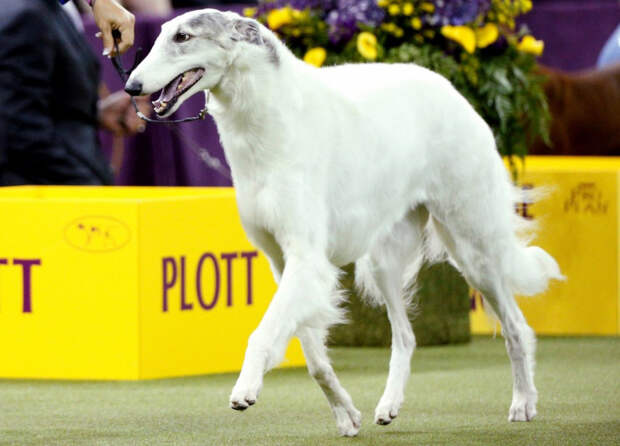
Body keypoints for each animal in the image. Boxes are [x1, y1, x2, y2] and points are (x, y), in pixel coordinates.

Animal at [124, 8, 560, 438]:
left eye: (183, 37)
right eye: (161, 34)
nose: (131, 86)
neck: (270, 122)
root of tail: (448, 87)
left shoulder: (306, 259)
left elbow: (263, 334)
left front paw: (246, 388)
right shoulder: (282, 262)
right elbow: (315, 358)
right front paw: (346, 414)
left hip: (472, 247)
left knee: (516, 327)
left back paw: (524, 402)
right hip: (384, 261)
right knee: (406, 336)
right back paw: (388, 405)